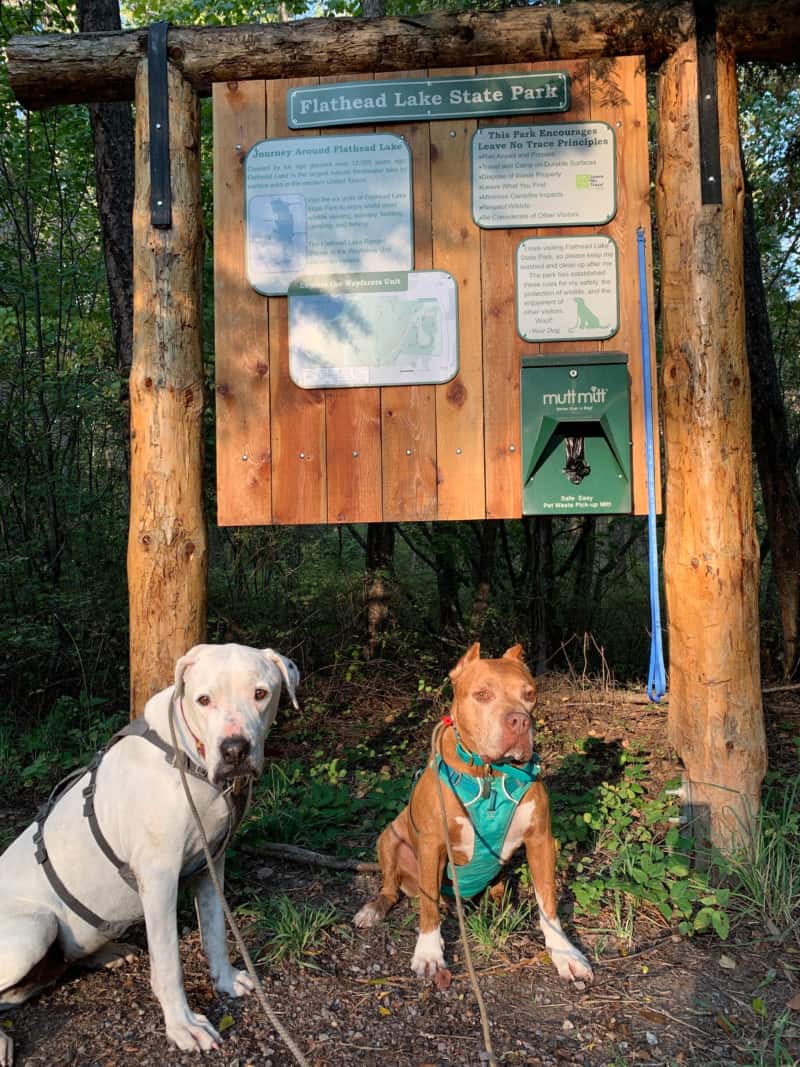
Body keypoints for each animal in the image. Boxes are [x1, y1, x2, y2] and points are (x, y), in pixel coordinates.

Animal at [0, 635, 298, 1062]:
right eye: (203, 699)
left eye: (260, 694)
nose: (235, 750)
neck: (187, 758)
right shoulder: (159, 880)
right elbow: (169, 963)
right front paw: (183, 1026)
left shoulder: (211, 865)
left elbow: (216, 932)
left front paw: (224, 980)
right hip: (33, 929)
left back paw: (105, 953)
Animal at [356, 640, 597, 981]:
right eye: (482, 694)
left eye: (530, 694)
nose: (520, 721)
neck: (489, 774)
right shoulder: (432, 843)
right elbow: (428, 906)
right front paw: (428, 953)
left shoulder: (540, 839)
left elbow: (548, 900)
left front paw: (565, 953)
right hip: (389, 838)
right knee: (394, 889)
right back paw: (374, 909)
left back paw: (499, 903)